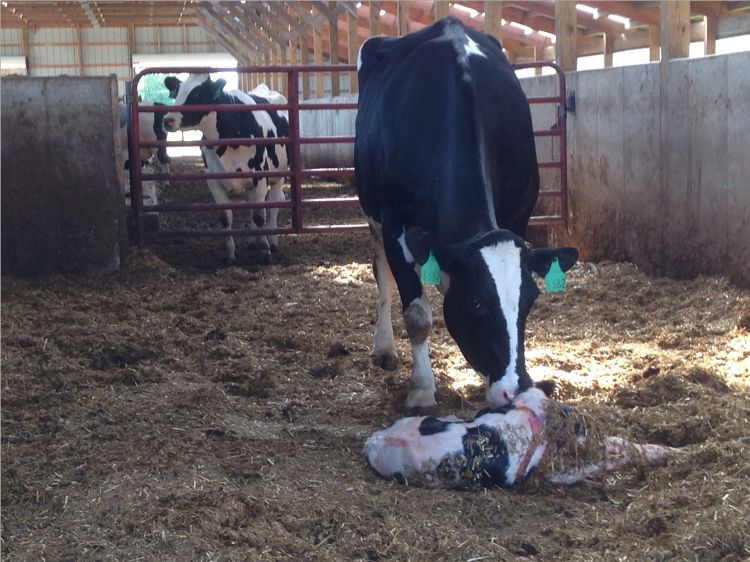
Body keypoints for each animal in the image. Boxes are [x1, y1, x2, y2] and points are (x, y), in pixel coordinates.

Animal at [163, 73, 290, 262]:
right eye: (177, 92)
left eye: (196, 94)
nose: (167, 120)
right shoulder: (214, 181)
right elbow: (226, 218)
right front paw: (230, 253)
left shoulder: (260, 178)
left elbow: (260, 216)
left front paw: (265, 250)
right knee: (252, 205)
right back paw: (253, 241)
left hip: (278, 175)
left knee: (275, 202)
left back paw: (272, 242)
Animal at [356, 16, 580, 412]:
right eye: (476, 302)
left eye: (531, 300)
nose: (515, 390)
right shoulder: (397, 226)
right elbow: (417, 315)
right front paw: (422, 390)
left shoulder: (518, 215)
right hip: (373, 214)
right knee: (380, 272)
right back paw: (384, 347)